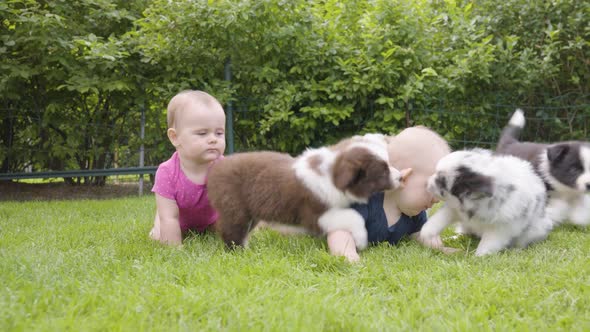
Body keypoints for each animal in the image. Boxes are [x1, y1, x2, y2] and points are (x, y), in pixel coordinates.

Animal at [206, 134, 404, 248]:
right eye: (383, 172)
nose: (401, 177)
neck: (332, 173)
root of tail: (216, 169)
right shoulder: (314, 215)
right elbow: (353, 217)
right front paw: (361, 239)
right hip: (234, 207)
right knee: (231, 230)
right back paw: (239, 251)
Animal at [420, 149, 556, 255]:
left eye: (441, 181)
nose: (426, 183)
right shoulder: (454, 209)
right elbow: (438, 220)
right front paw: (426, 234)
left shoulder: (500, 228)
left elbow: (488, 243)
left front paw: (478, 257)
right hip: (466, 226)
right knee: (466, 232)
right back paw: (453, 237)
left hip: (534, 231)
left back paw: (516, 250)